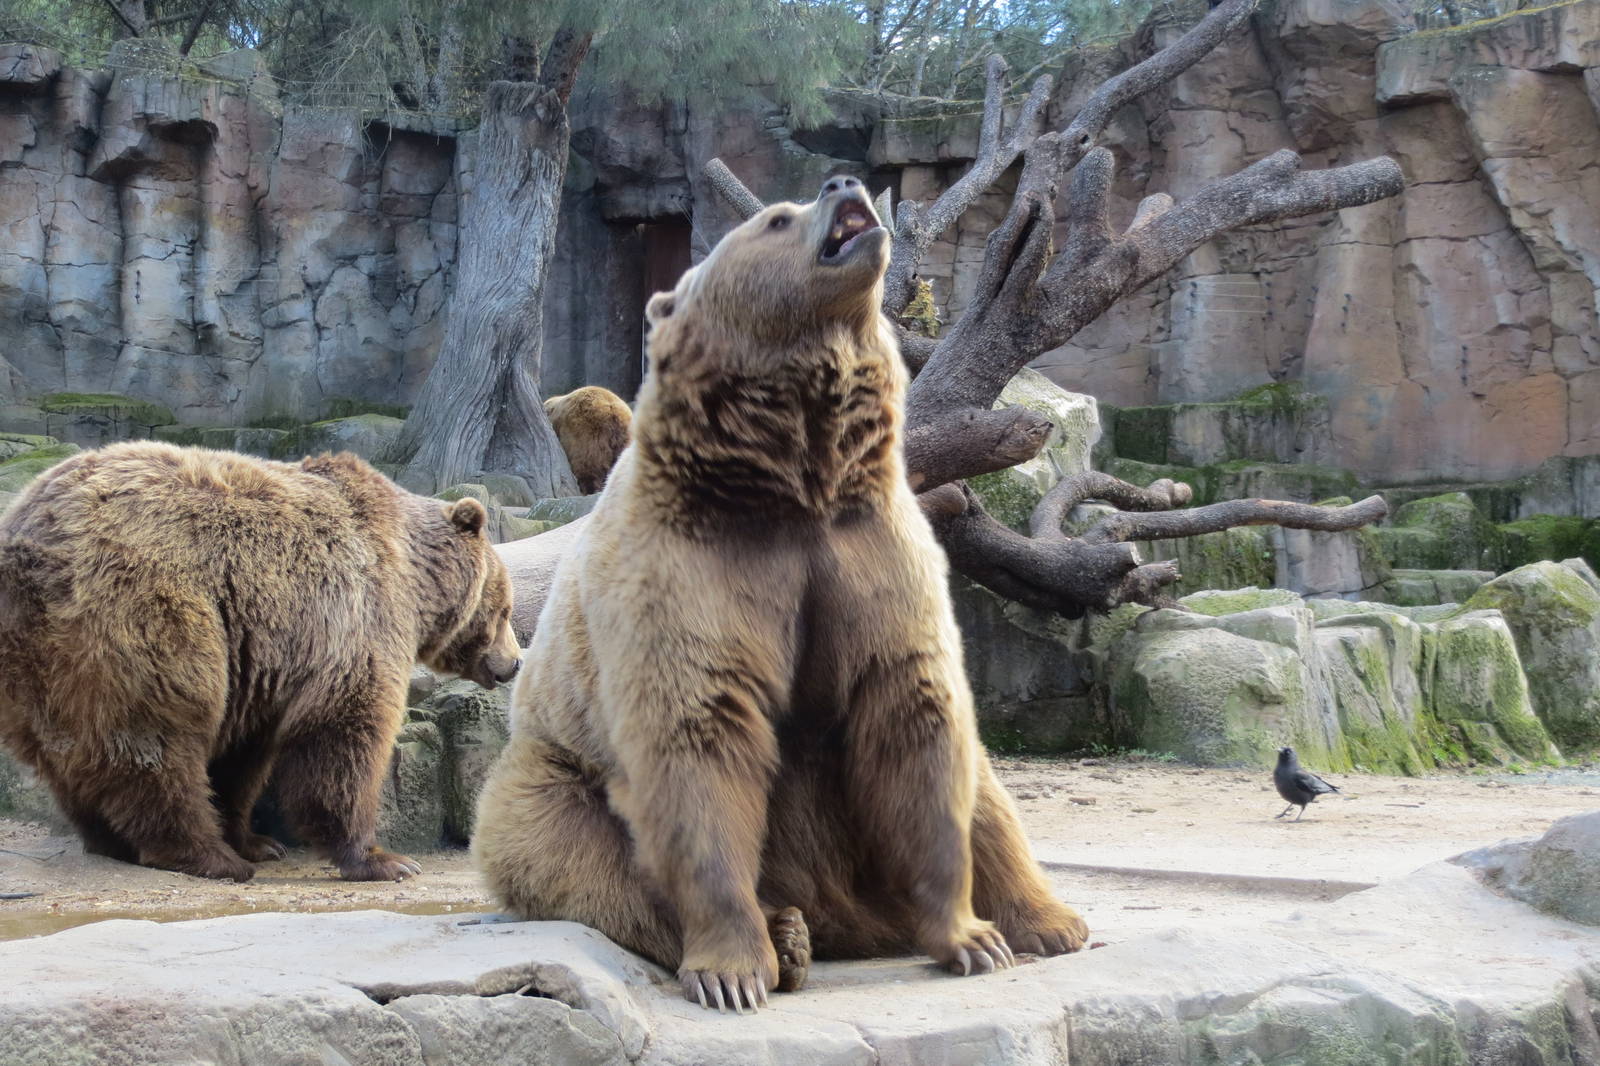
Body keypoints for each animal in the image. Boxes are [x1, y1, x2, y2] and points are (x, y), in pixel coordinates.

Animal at [0, 442, 522, 883]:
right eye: (505, 608)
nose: (514, 663)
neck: (416, 581)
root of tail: (28, 539)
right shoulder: (354, 615)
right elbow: (344, 733)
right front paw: (383, 859)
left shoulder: (261, 660)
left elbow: (245, 754)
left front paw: (258, 840)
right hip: (146, 611)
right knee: (160, 737)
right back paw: (207, 856)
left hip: (36, 663)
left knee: (70, 752)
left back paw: (111, 838)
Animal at [473, 174, 1087, 1013]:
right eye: (776, 218)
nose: (843, 181)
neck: (793, 480)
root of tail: (846, 910)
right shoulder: (694, 567)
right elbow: (698, 737)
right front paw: (733, 970)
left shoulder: (871, 551)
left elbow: (917, 720)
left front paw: (970, 937)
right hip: (553, 771)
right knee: (579, 859)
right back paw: (789, 937)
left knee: (987, 795)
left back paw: (1051, 919)